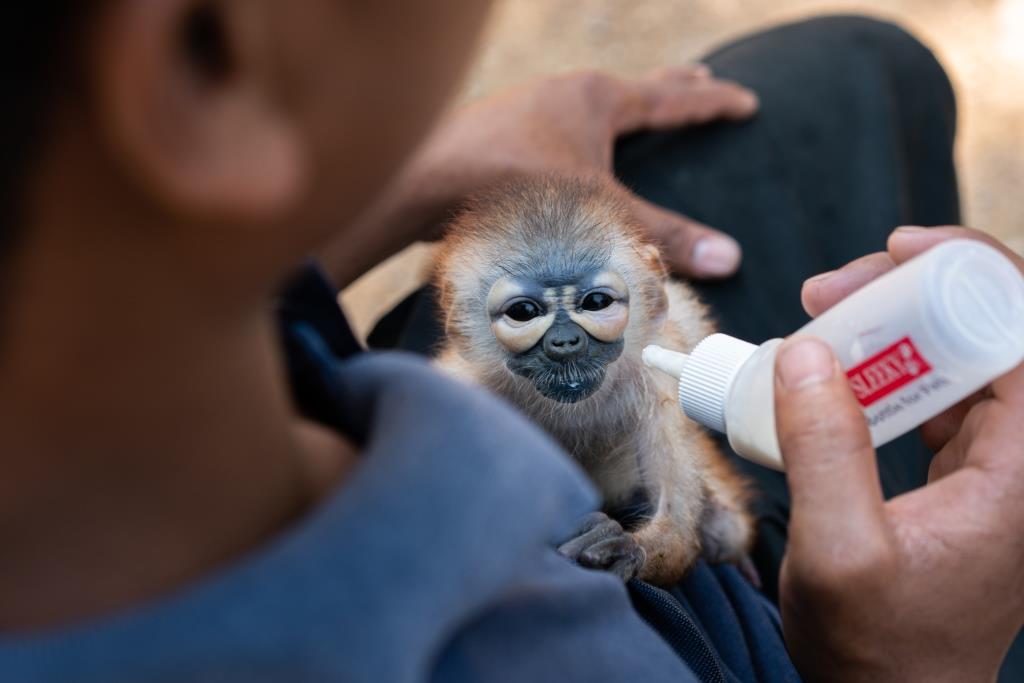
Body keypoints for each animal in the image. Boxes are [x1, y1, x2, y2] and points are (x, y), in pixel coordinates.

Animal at [432, 176, 753, 589]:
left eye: (596, 303)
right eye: (524, 312)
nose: (565, 342)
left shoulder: (658, 378)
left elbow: (680, 536)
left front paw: (627, 549)